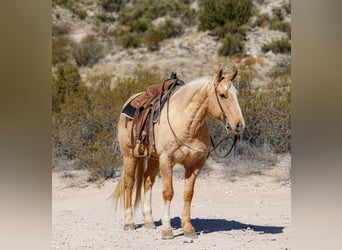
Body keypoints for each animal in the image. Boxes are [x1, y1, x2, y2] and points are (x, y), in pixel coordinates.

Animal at [113, 68, 244, 238]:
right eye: (222, 95)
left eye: (237, 94)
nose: (239, 125)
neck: (187, 124)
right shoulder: (167, 161)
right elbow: (168, 192)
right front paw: (167, 229)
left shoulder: (195, 165)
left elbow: (188, 194)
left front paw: (188, 228)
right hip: (129, 156)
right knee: (129, 183)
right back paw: (129, 222)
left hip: (153, 158)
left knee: (147, 181)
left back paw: (149, 220)